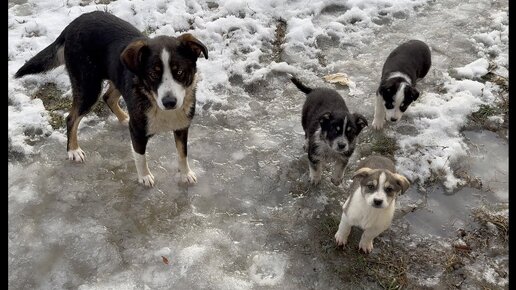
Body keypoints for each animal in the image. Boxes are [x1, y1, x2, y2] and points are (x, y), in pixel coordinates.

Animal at [14, 10, 208, 187]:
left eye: (180, 72)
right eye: (153, 74)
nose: (169, 102)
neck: (154, 102)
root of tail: (73, 24)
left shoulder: (182, 126)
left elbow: (182, 153)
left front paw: (185, 174)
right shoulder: (137, 131)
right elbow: (141, 157)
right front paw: (144, 176)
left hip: (115, 75)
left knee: (108, 97)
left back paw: (124, 118)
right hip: (88, 87)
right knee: (71, 118)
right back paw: (73, 150)